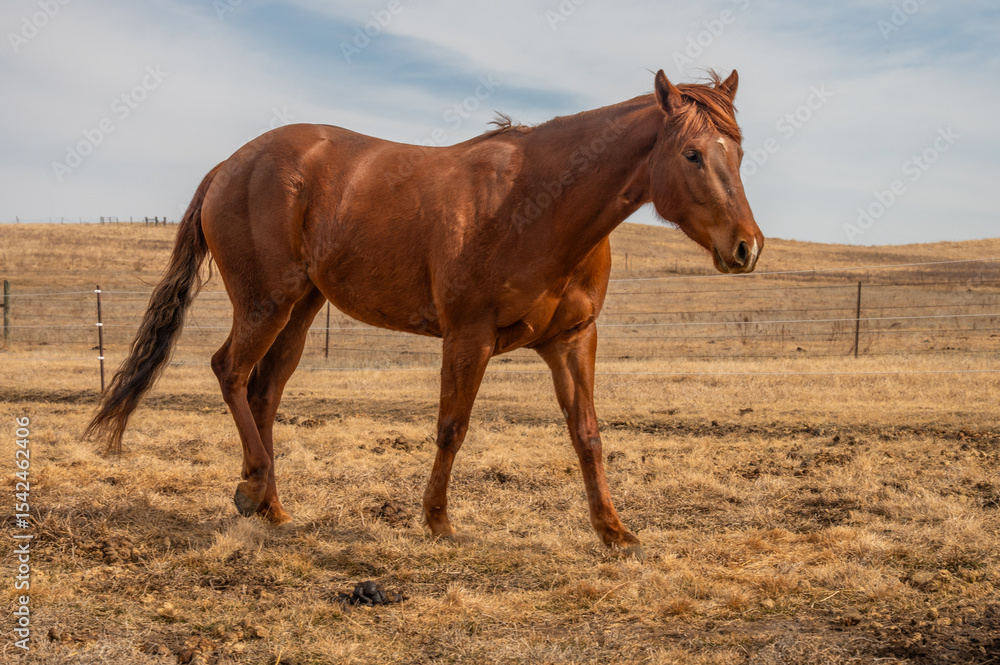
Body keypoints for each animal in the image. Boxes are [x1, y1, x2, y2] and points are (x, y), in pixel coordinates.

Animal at [87, 69, 762, 559]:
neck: (540, 205)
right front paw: (438, 521)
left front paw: (615, 532)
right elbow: (451, 427)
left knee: (263, 393)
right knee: (229, 371)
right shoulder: (467, 337)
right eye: (693, 154)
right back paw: (252, 486)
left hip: (300, 311)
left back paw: (273, 506)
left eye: (738, 153)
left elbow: (588, 435)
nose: (746, 248)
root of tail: (230, 165)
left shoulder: (572, 341)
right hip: (266, 302)